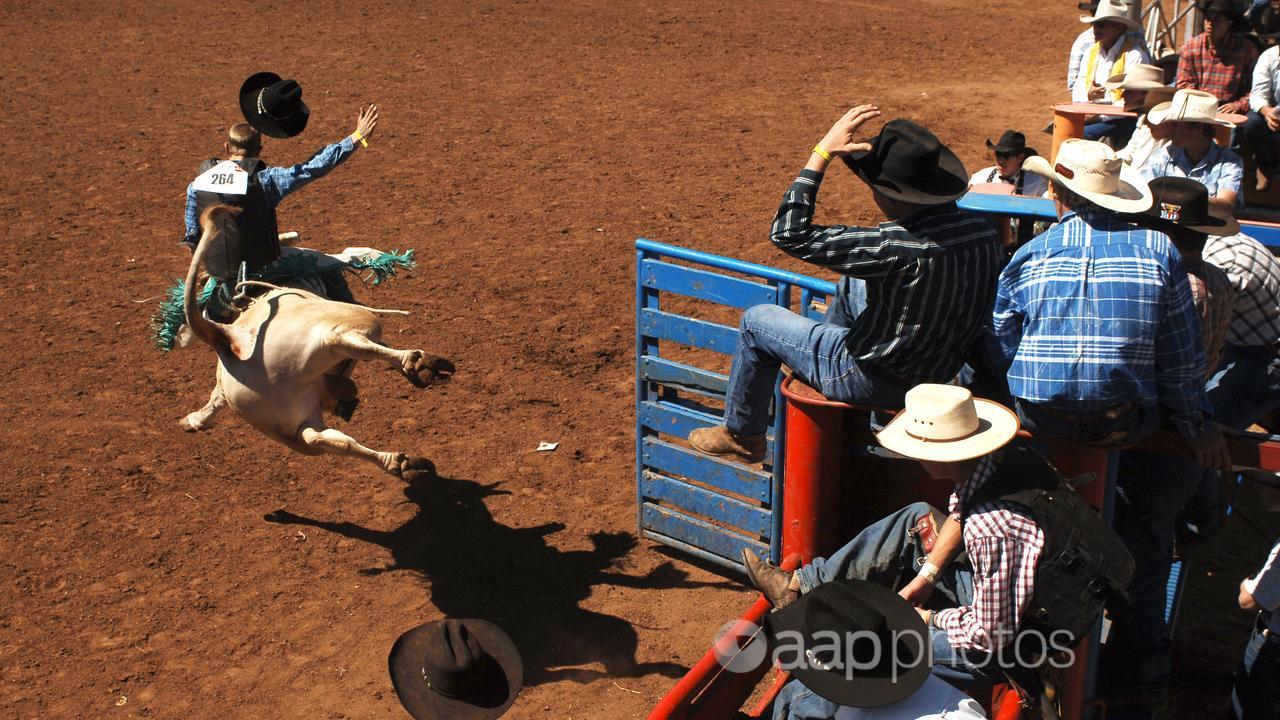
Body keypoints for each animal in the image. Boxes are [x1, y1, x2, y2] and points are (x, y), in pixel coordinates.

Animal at [180, 204, 455, 479]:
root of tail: (229, 339)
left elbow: (213, 402)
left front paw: (193, 420)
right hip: (350, 323)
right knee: (349, 342)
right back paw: (419, 363)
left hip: (296, 423)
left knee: (322, 439)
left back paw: (401, 464)